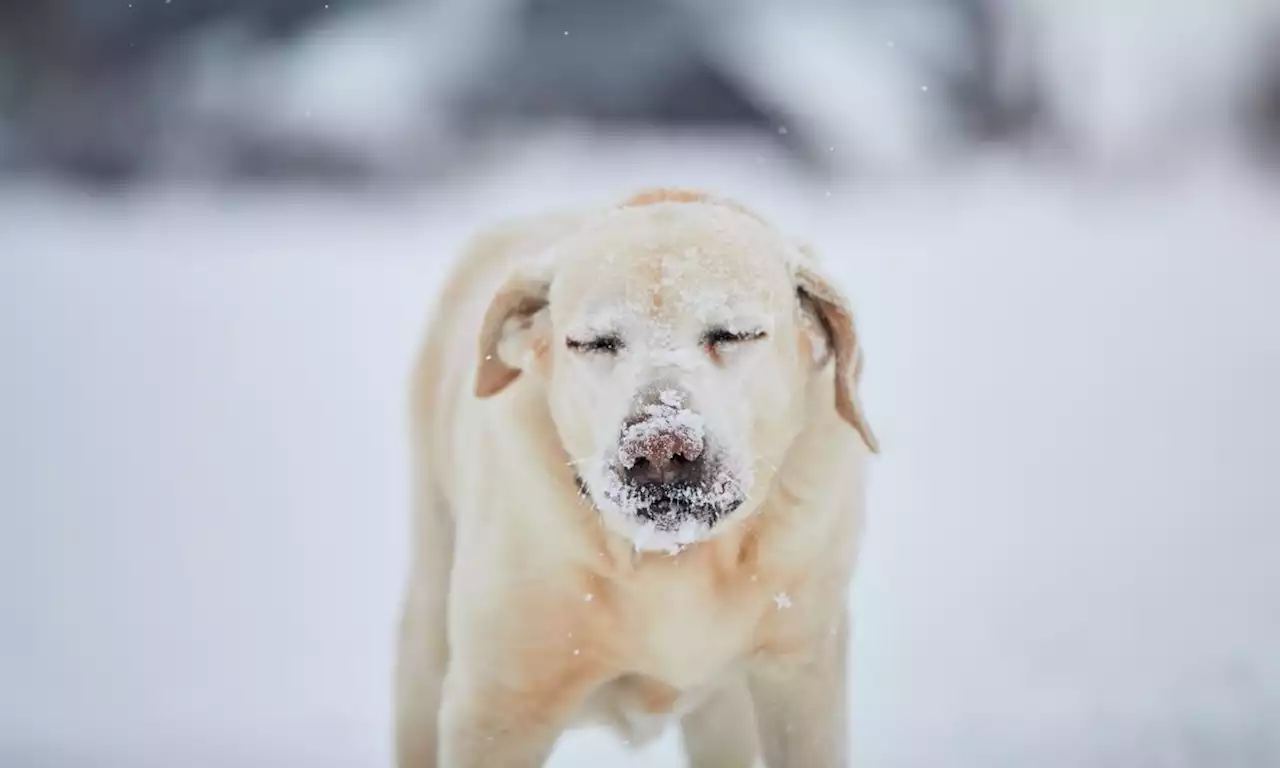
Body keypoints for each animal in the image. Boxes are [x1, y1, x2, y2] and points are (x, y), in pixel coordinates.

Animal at [396, 186, 880, 768]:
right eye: (595, 342)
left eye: (733, 334)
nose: (660, 447)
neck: (672, 563)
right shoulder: (496, 708)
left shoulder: (802, 674)